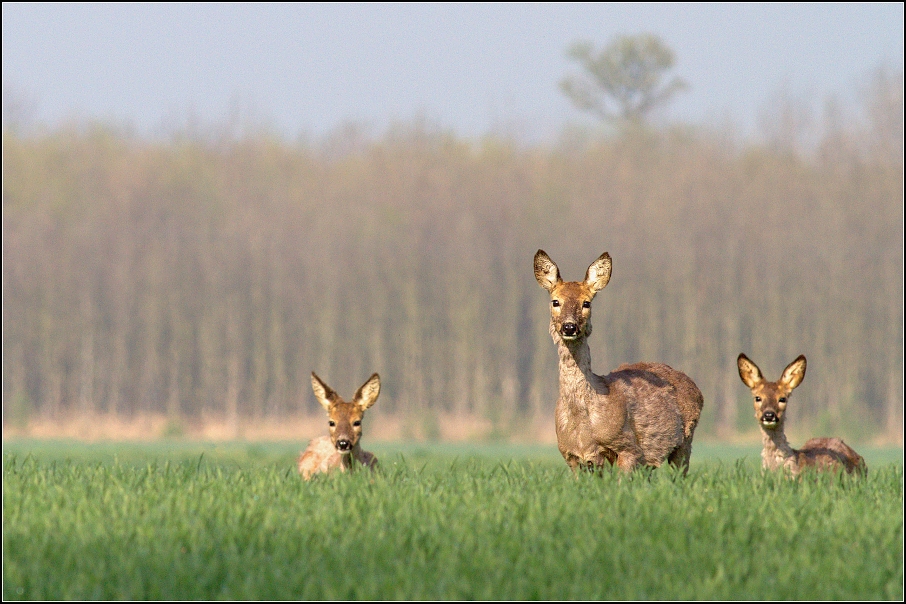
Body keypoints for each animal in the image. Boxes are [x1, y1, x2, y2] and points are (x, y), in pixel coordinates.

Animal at [532, 248, 704, 474]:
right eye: (555, 301)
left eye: (586, 303)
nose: (569, 327)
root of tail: (695, 386)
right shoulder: (572, 456)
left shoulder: (629, 448)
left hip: (686, 439)